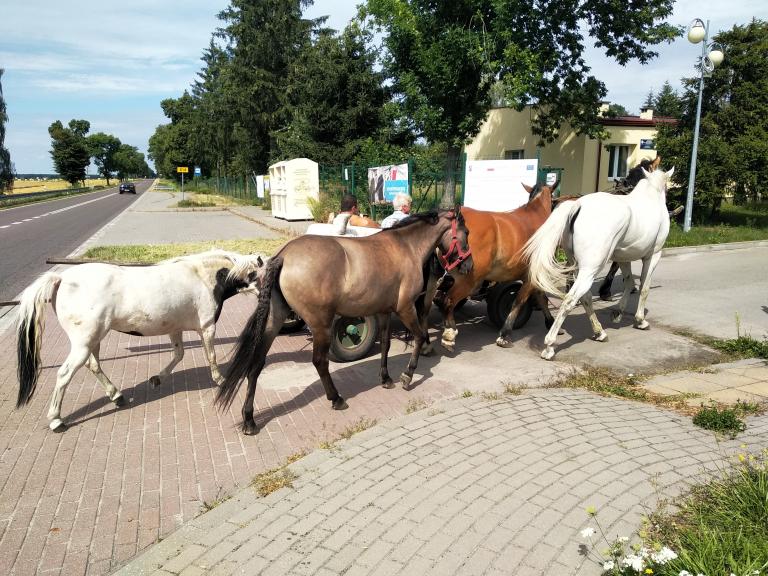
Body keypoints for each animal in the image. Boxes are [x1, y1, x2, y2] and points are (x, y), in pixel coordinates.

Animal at [15, 250, 264, 430]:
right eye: (258, 275)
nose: (266, 297)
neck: (202, 276)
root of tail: (61, 278)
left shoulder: (175, 329)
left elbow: (178, 354)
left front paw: (157, 379)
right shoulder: (207, 327)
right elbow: (210, 355)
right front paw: (221, 380)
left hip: (93, 339)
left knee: (93, 365)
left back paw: (117, 396)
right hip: (84, 342)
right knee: (65, 374)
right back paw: (56, 419)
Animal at [213, 209, 472, 434]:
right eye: (466, 233)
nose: (468, 266)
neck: (405, 247)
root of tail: (285, 256)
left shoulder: (384, 312)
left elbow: (386, 345)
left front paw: (386, 378)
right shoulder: (405, 309)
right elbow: (419, 337)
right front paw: (407, 376)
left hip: (274, 321)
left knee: (256, 364)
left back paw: (249, 418)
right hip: (322, 325)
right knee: (319, 361)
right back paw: (336, 399)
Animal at [432, 182, 560, 348]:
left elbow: (541, 297)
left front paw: (550, 322)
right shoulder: (532, 275)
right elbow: (518, 301)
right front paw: (505, 333)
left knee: (442, 300)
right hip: (469, 281)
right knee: (447, 301)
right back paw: (449, 334)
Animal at [520, 165, 672, 360]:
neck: (650, 195)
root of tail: (576, 206)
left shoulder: (623, 257)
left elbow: (629, 282)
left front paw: (617, 312)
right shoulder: (653, 255)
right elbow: (644, 287)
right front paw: (640, 320)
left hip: (578, 266)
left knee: (584, 297)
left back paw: (599, 332)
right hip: (590, 268)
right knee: (570, 299)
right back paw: (549, 345)